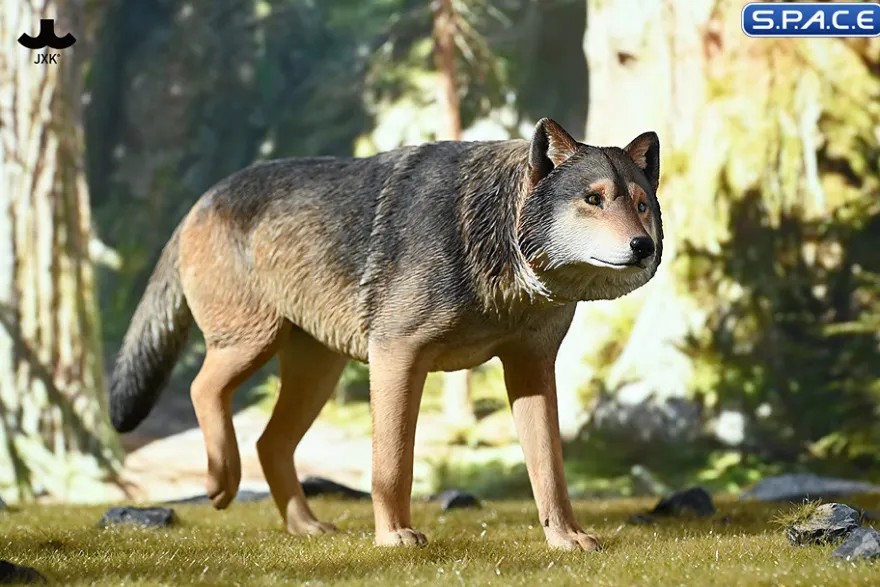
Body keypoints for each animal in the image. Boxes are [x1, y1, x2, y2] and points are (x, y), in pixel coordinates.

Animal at [109, 118, 662, 550]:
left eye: (640, 204)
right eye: (593, 199)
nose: (645, 247)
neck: (486, 233)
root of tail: (201, 200)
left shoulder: (531, 368)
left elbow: (550, 470)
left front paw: (565, 538)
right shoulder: (397, 355)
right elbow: (392, 464)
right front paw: (394, 537)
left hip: (317, 374)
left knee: (269, 442)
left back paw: (305, 527)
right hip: (252, 344)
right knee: (203, 389)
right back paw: (221, 481)